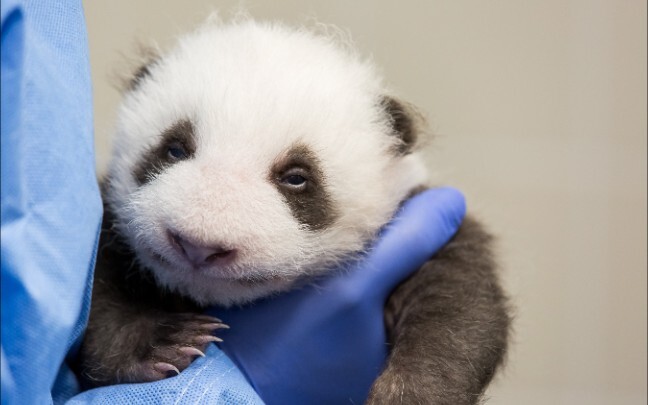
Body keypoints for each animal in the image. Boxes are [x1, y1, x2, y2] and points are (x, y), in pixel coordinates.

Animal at [78, 19, 508, 404]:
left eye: (297, 177)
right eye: (175, 149)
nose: (198, 246)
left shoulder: (423, 222)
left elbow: (457, 305)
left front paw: (414, 391)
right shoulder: (112, 221)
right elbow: (96, 287)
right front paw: (163, 343)